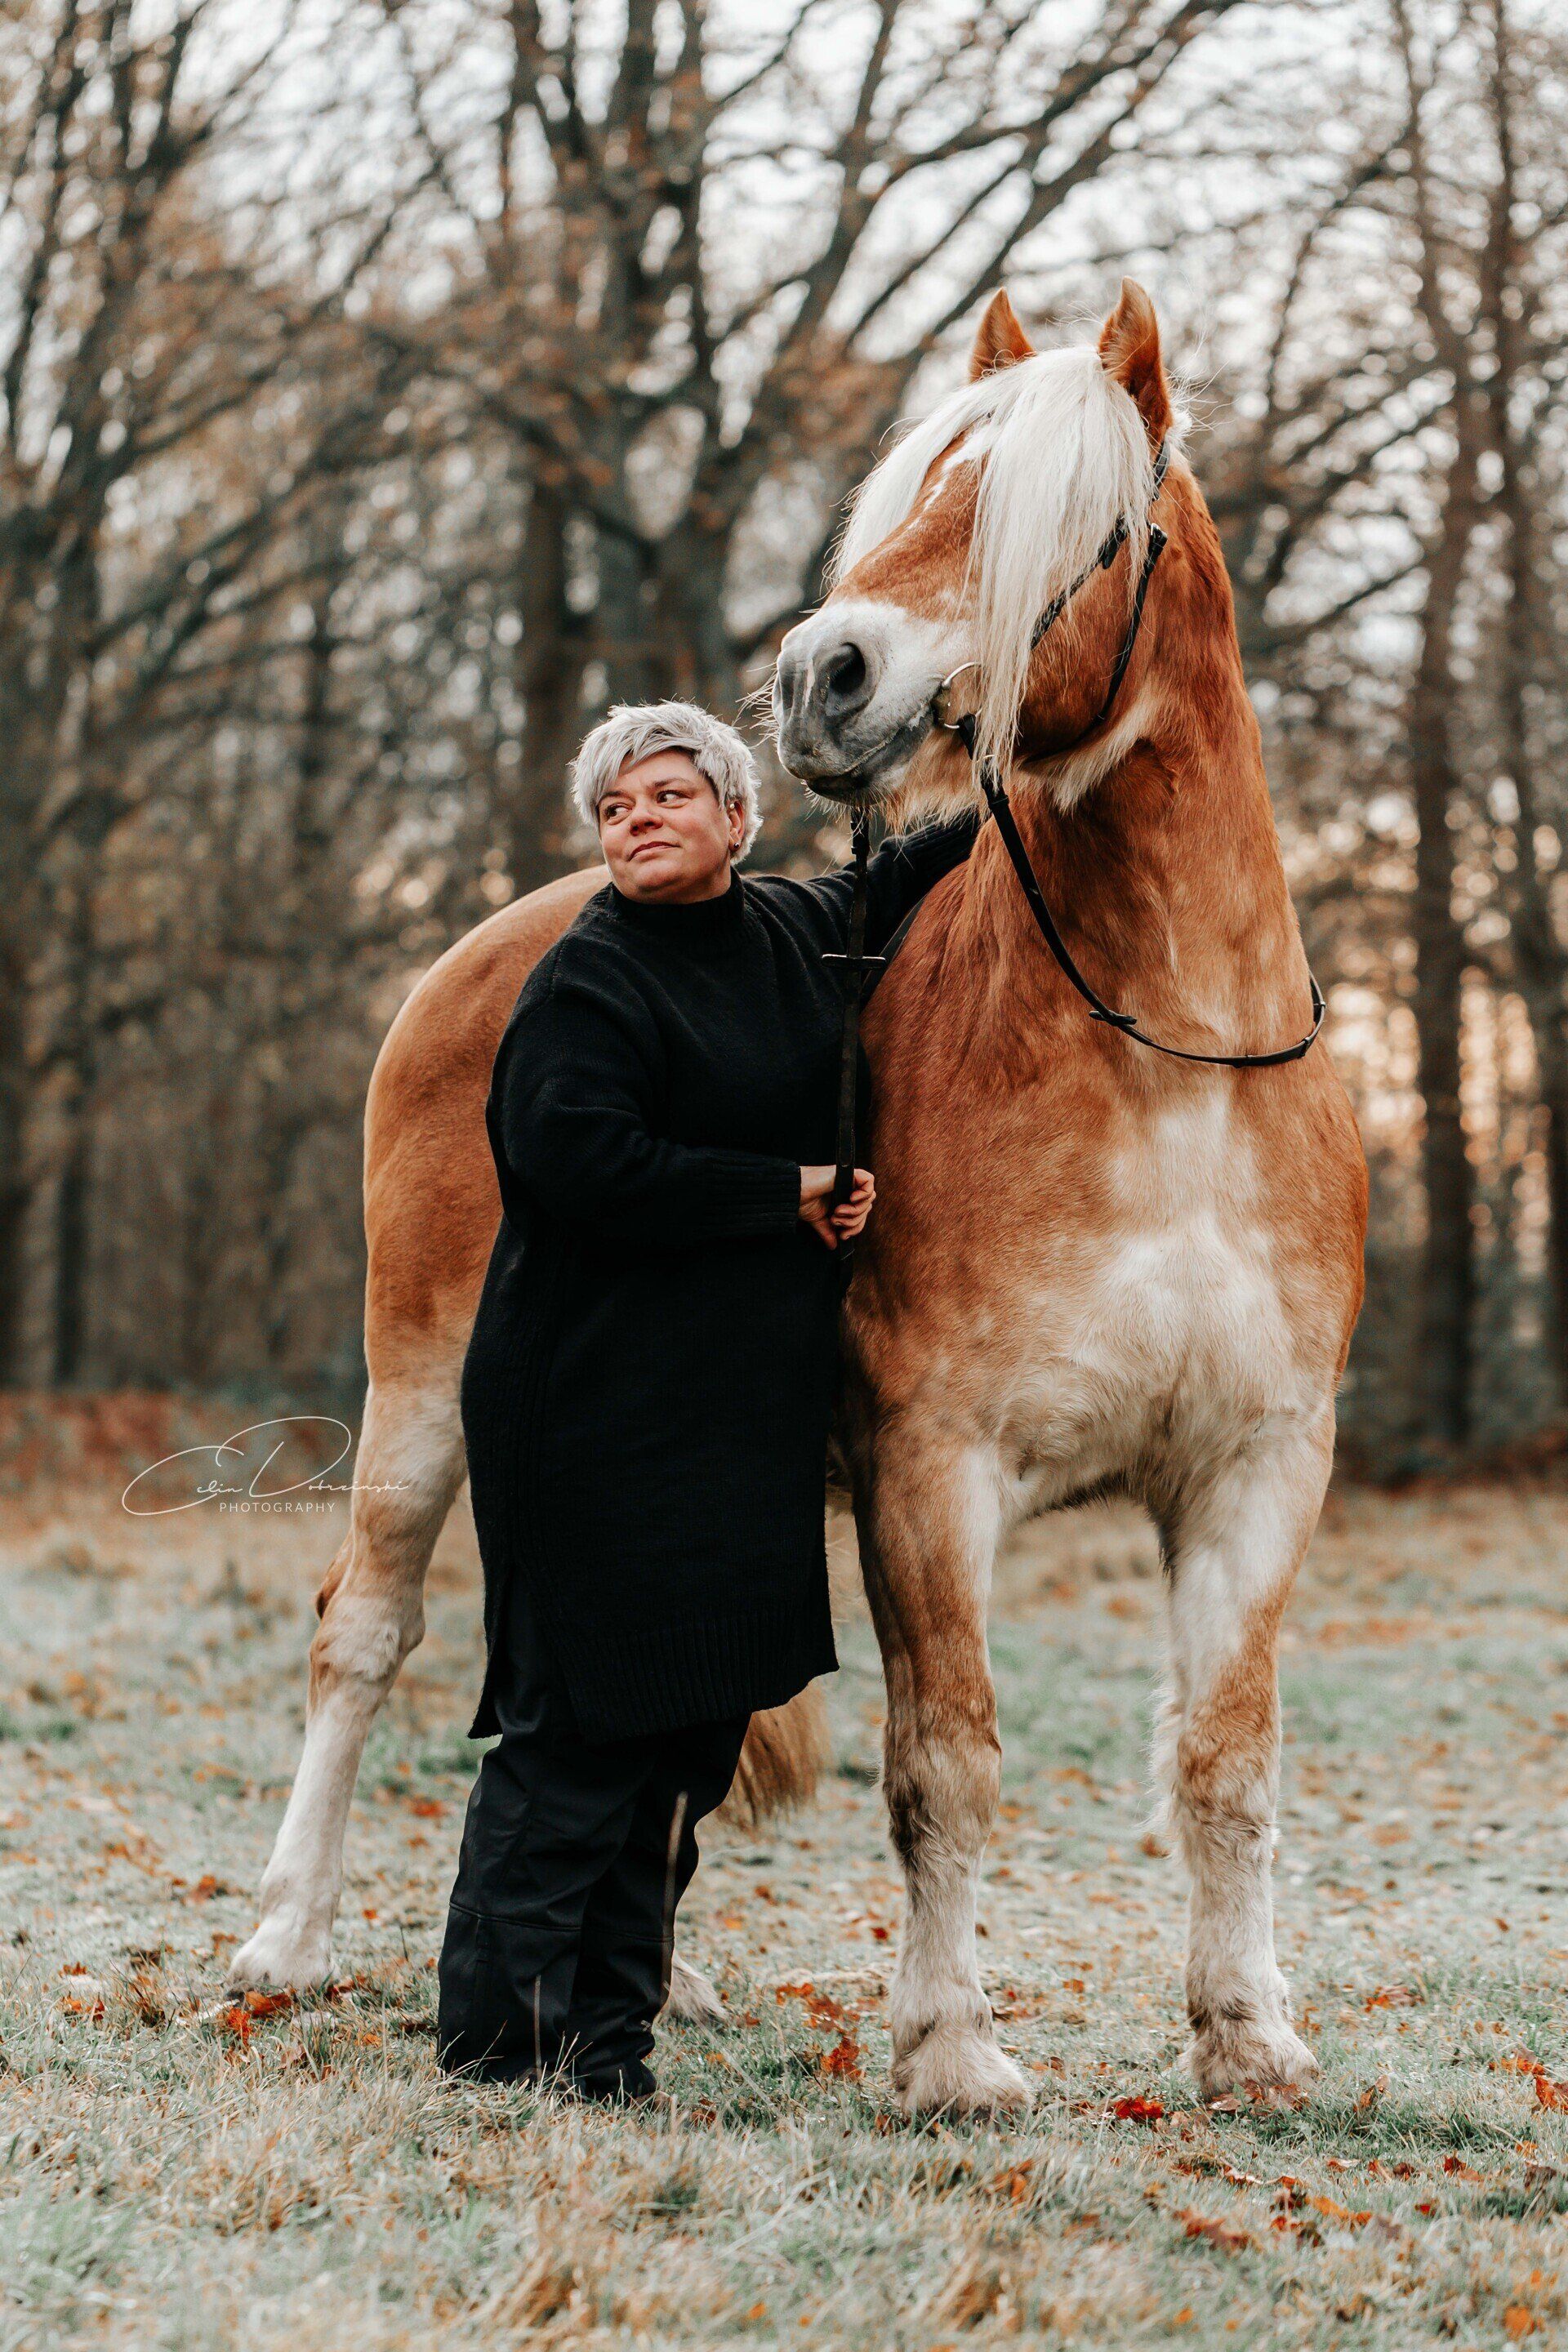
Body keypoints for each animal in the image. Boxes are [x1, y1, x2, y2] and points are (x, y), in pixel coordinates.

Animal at [769, 280, 1365, 2112]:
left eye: (1074, 526)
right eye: (913, 493)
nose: (822, 676)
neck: (1176, 1077)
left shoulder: (1254, 1473)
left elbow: (1227, 1762)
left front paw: (1246, 2038)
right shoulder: (931, 1471)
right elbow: (946, 1760)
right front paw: (952, 2051)